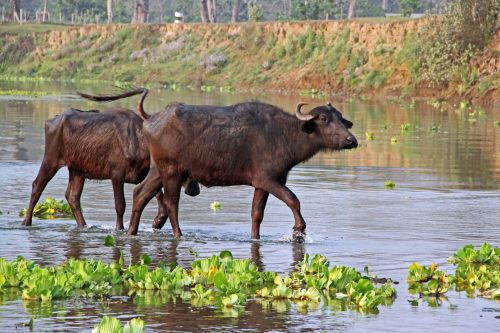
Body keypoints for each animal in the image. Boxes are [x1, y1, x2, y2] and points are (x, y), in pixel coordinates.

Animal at [22, 87, 199, 230]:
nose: (194, 189)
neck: (142, 144)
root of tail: (51, 120)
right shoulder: (116, 174)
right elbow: (120, 205)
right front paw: (119, 229)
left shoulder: (142, 174)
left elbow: (157, 198)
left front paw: (157, 222)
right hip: (51, 159)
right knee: (37, 185)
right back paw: (26, 222)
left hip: (77, 170)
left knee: (72, 197)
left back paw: (84, 225)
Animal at [127, 97, 358, 240]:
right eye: (324, 118)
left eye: (340, 117)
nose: (351, 140)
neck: (285, 135)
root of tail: (150, 120)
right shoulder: (268, 179)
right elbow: (293, 199)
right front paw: (298, 230)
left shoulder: (262, 184)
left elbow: (257, 214)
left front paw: (255, 237)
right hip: (172, 171)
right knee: (171, 203)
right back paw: (178, 234)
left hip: (158, 170)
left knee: (140, 194)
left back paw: (131, 231)